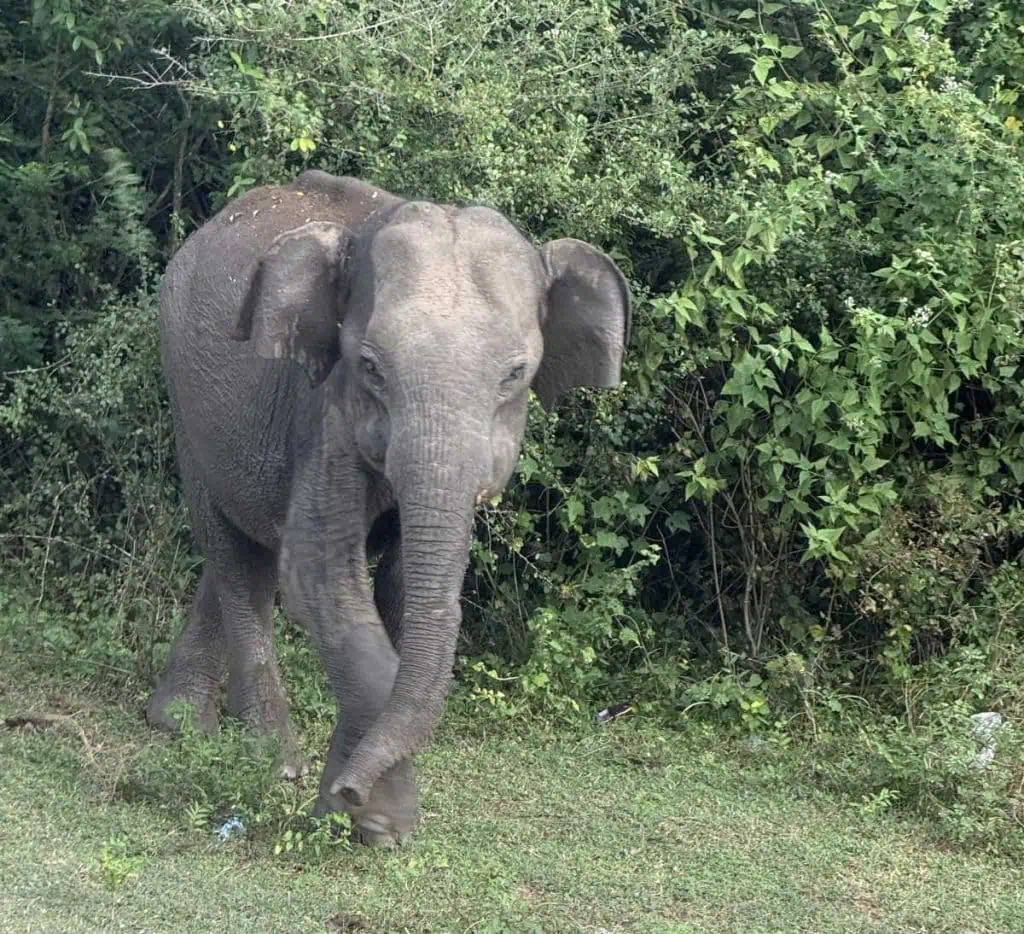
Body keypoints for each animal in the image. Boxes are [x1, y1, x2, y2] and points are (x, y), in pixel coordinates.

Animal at [147, 168, 631, 845]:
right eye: (371, 366)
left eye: (515, 374)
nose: (354, 789)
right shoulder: (324, 407)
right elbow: (319, 574)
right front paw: (375, 817)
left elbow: (403, 588)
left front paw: (351, 812)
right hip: (186, 401)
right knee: (236, 555)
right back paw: (273, 760)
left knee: (247, 555)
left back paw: (180, 722)